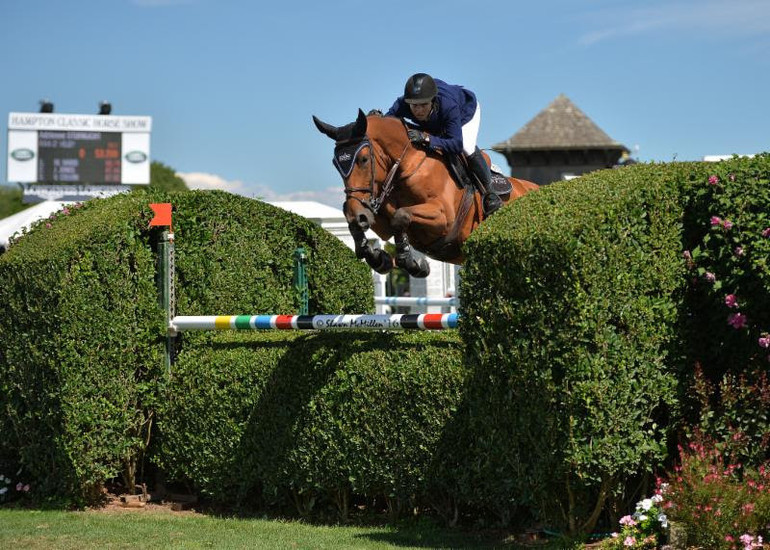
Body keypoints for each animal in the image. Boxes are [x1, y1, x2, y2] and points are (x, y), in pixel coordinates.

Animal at [310, 109, 536, 278]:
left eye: (363, 159)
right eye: (336, 164)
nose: (356, 213)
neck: (407, 167)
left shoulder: (444, 218)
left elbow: (401, 216)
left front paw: (412, 263)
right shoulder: (379, 218)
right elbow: (379, 223)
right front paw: (379, 258)